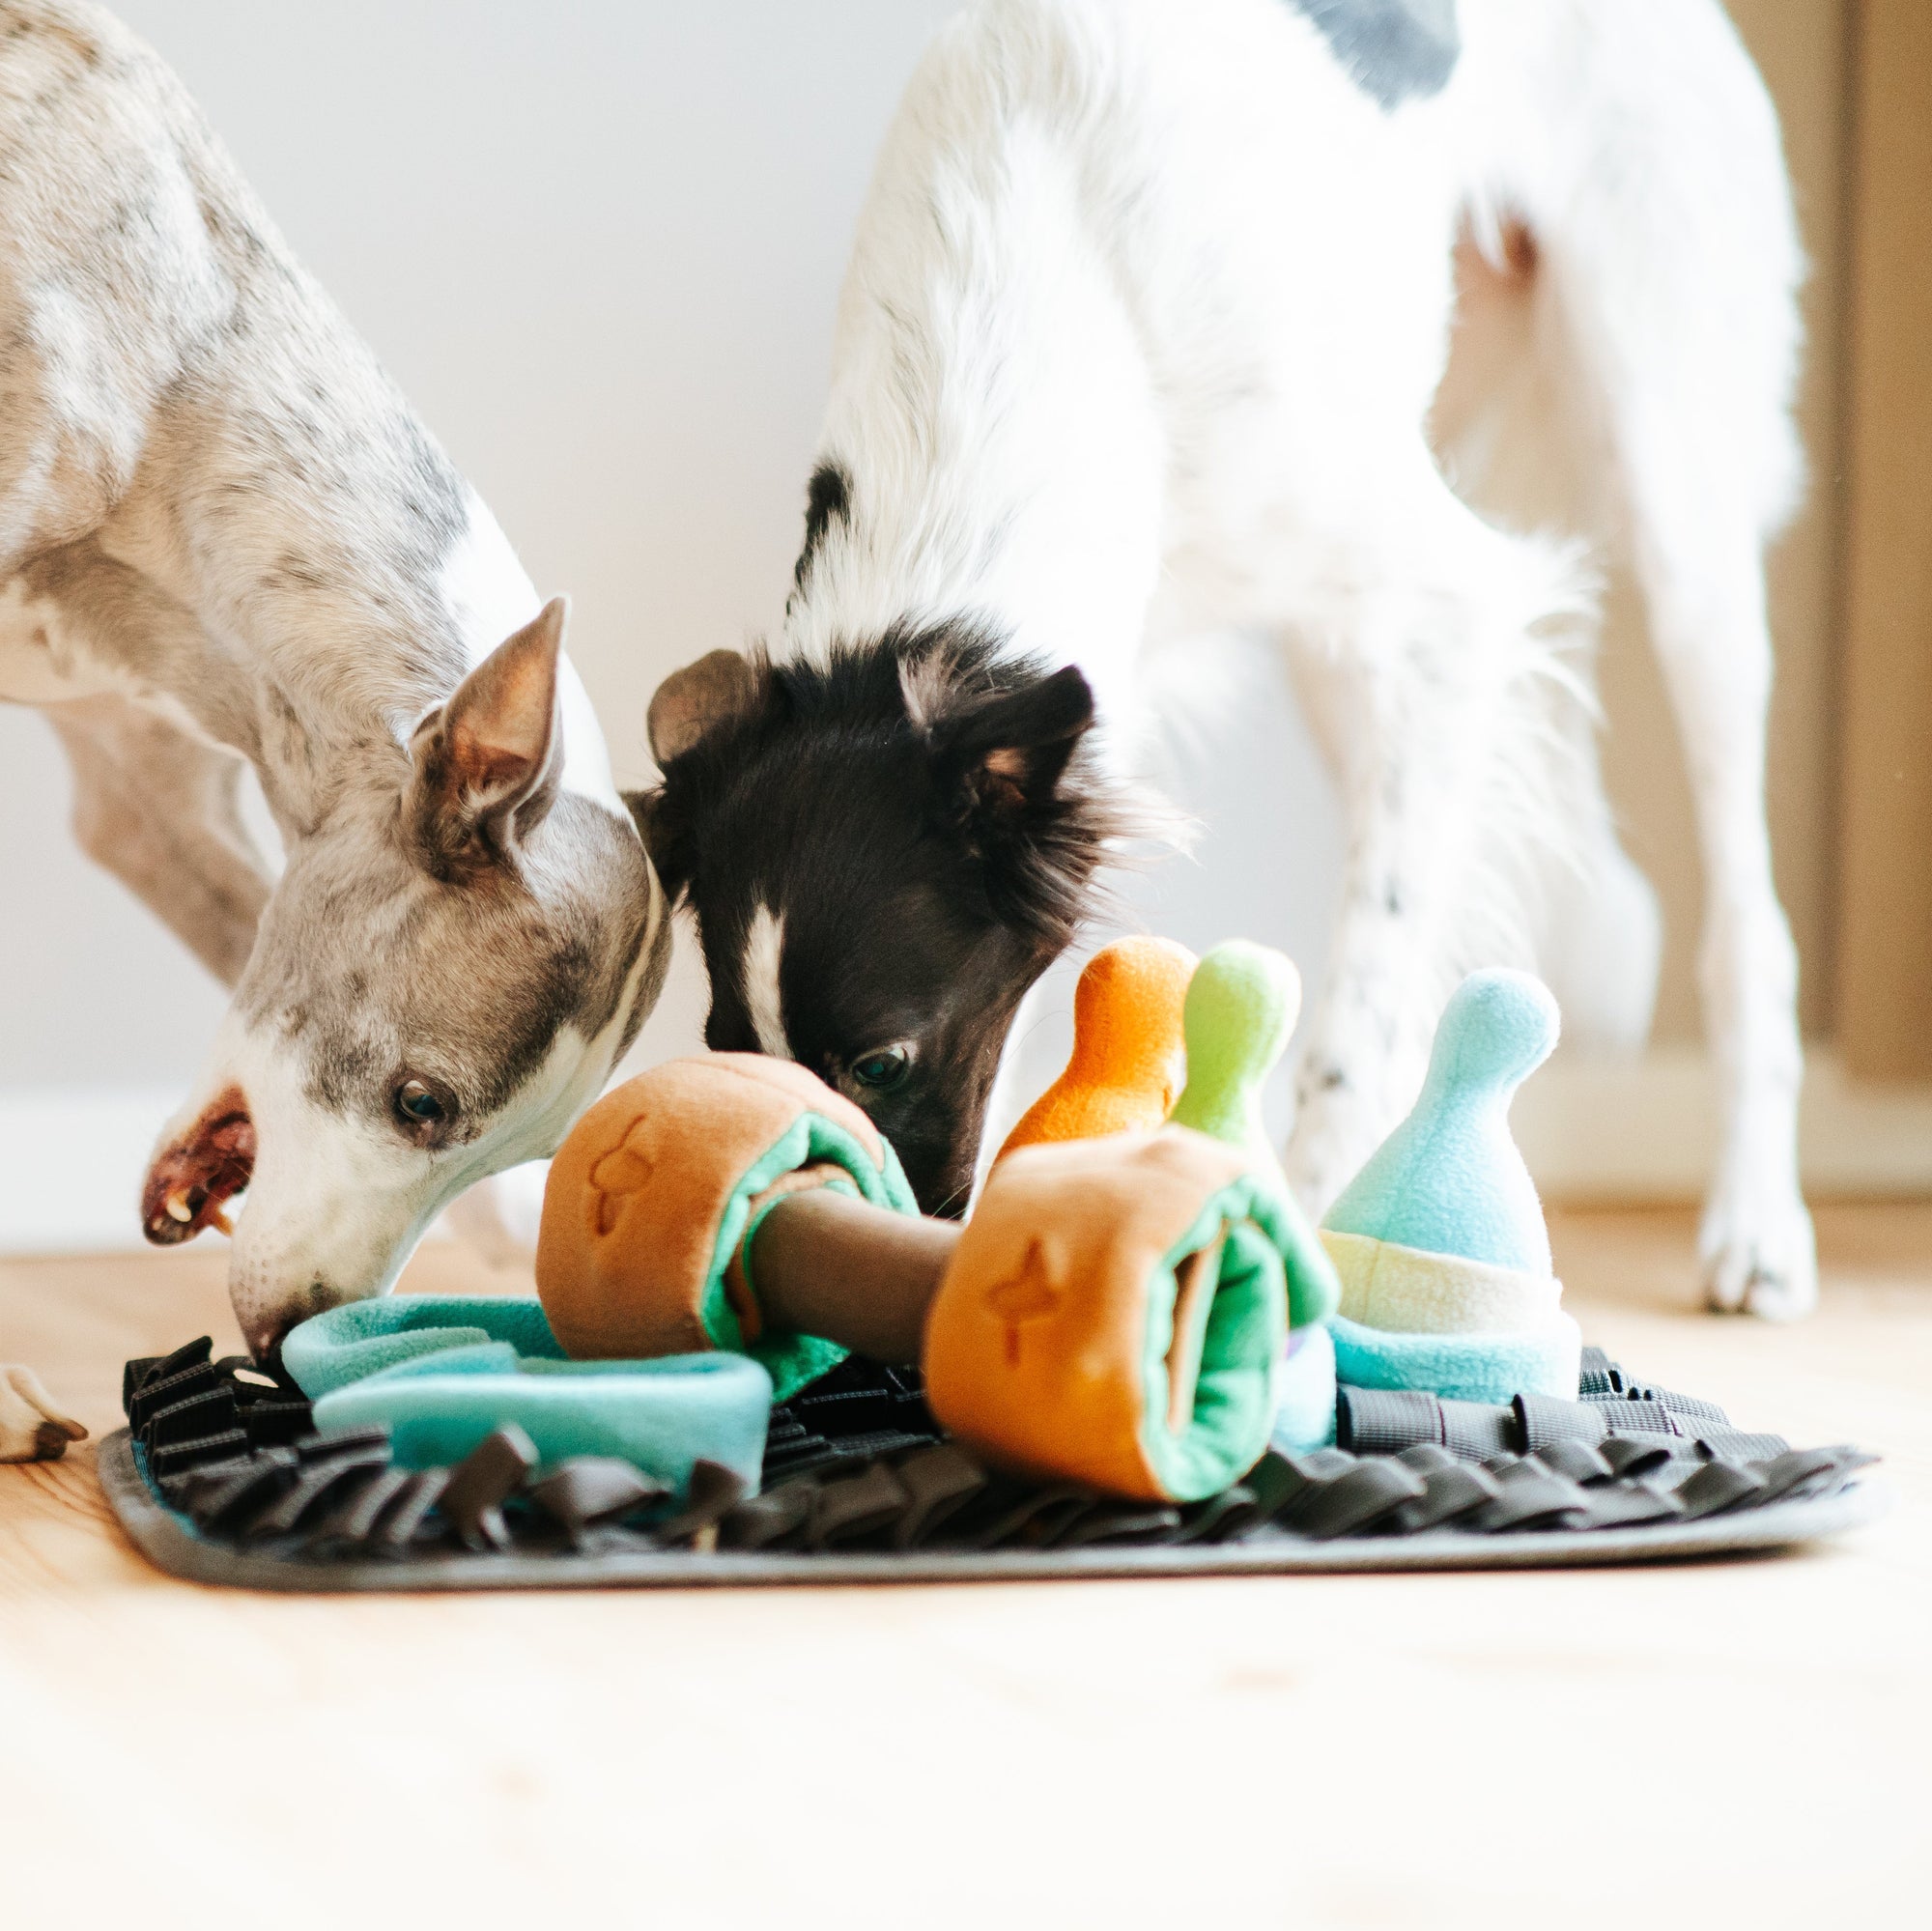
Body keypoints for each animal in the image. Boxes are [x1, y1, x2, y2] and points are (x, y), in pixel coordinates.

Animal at [639, 0, 1816, 1317]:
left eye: (883, 1061)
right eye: (727, 1052)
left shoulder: (1453, 609)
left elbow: (1363, 1004)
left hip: (1670, 500)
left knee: (1744, 916)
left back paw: (1754, 1225)